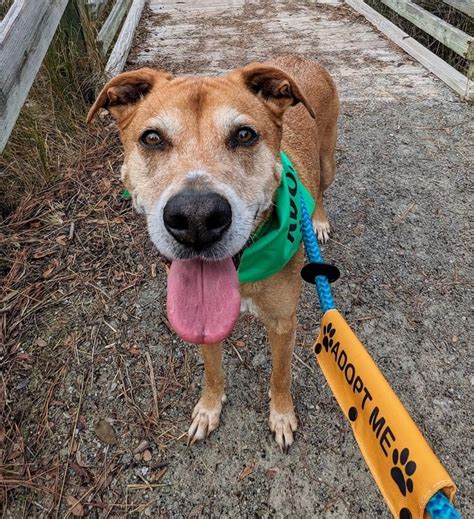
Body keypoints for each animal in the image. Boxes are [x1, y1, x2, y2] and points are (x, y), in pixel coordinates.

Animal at [88, 54, 340, 448]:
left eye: (244, 135)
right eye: (152, 138)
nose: (197, 218)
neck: (247, 266)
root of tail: (300, 58)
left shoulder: (284, 324)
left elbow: (280, 376)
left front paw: (282, 415)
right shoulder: (203, 324)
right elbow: (212, 371)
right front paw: (209, 409)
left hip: (327, 161)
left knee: (324, 188)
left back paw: (319, 220)